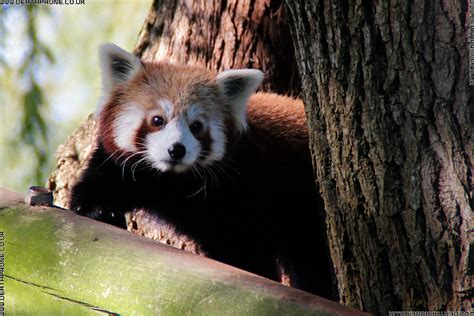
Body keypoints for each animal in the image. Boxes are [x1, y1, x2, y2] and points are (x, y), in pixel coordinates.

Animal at [70, 43, 332, 298]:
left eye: (196, 126)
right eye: (157, 120)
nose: (176, 149)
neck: (171, 182)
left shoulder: (243, 192)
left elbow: (247, 250)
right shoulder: (125, 169)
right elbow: (99, 184)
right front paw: (98, 210)